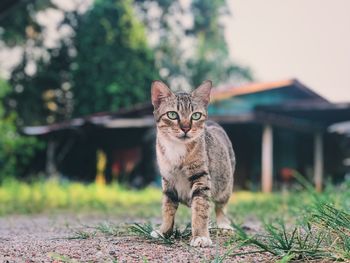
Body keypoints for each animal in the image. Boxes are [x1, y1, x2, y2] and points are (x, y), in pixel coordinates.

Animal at [150, 80, 235, 248]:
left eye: (196, 115)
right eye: (172, 114)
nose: (185, 128)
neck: (177, 149)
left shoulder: (201, 178)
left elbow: (201, 208)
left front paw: (201, 235)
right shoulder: (168, 180)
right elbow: (167, 209)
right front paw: (164, 231)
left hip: (225, 185)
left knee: (220, 207)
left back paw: (223, 224)